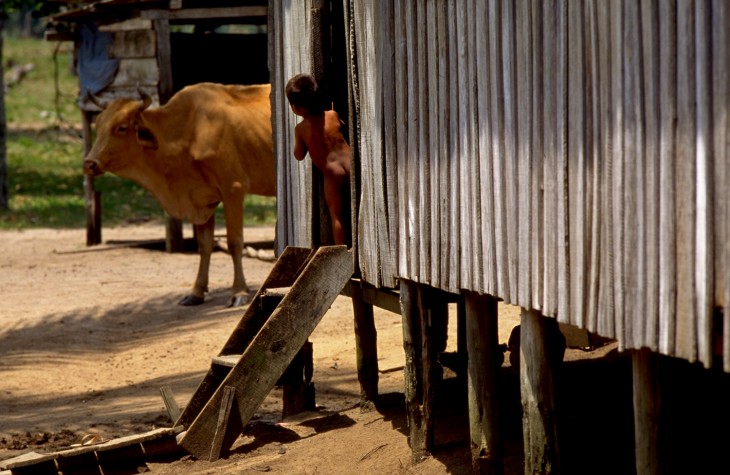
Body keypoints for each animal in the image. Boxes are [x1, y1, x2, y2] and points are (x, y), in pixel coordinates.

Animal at [83, 82, 276, 306]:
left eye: (121, 127)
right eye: (98, 125)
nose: (89, 163)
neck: (188, 130)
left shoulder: (233, 188)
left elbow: (234, 242)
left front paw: (239, 292)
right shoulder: (202, 200)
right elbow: (205, 245)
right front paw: (196, 292)